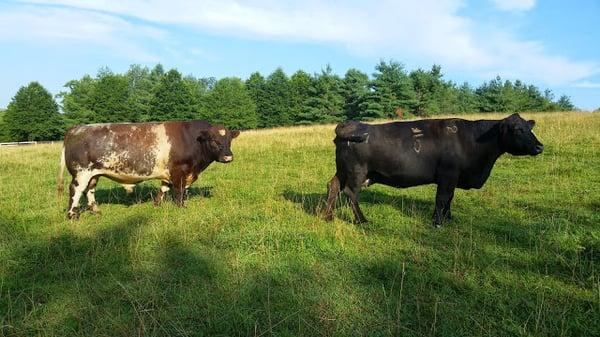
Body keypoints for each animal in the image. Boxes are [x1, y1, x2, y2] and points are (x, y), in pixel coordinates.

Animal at [56, 119, 239, 219]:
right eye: (214, 140)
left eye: (229, 140)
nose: (228, 157)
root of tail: (76, 128)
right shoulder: (179, 172)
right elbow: (179, 192)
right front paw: (181, 208)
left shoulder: (169, 173)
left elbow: (164, 189)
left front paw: (157, 204)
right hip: (81, 172)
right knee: (75, 190)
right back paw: (72, 215)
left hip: (94, 174)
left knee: (89, 190)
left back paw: (96, 210)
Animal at [324, 113, 544, 226]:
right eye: (518, 130)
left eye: (529, 128)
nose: (540, 146)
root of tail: (349, 124)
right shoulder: (448, 175)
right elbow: (442, 198)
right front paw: (437, 222)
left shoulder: (454, 177)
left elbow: (449, 199)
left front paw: (449, 218)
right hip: (356, 172)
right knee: (350, 193)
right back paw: (362, 220)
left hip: (343, 170)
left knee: (333, 186)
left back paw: (327, 216)